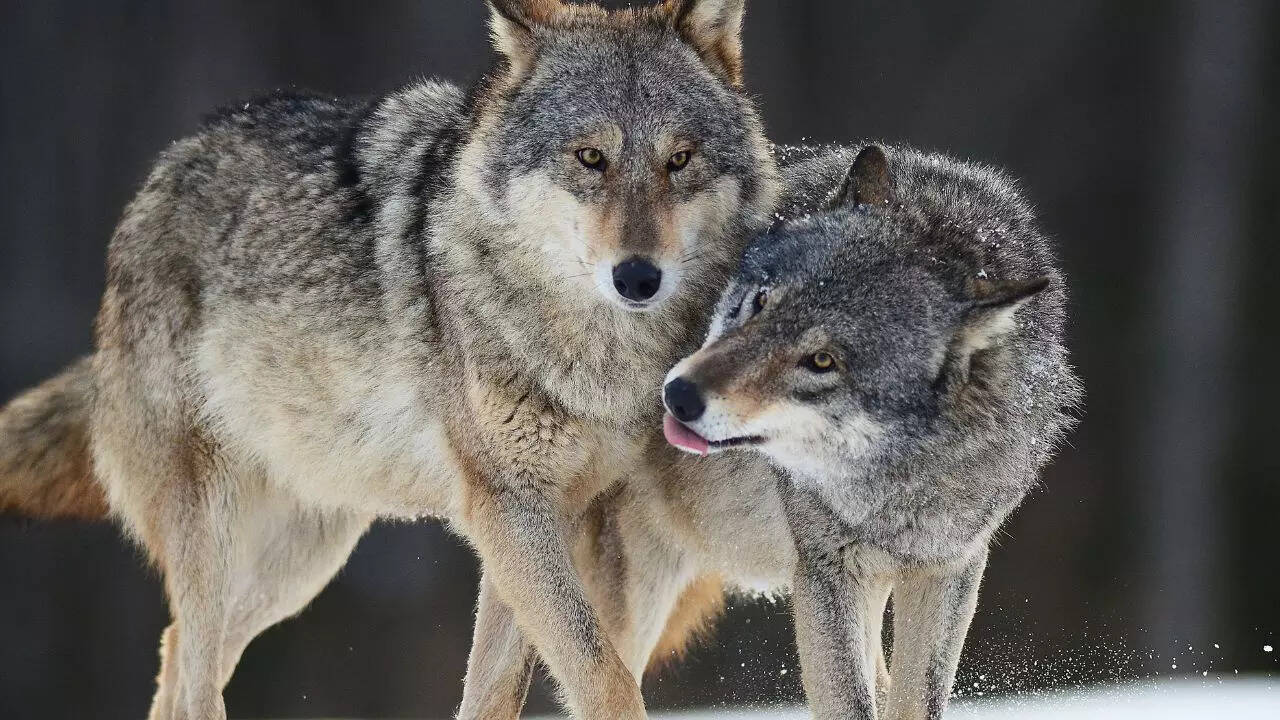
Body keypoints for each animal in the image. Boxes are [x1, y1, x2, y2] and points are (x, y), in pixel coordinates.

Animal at [0, 1, 781, 718]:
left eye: (679, 160)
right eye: (591, 158)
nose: (639, 277)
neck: (595, 354)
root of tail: (162, 172)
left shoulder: (540, 518)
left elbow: (495, 692)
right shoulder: (510, 507)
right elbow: (602, 675)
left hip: (302, 561)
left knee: (178, 655)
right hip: (214, 529)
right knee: (192, 677)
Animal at [659, 144, 1083, 719]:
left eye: (822, 360)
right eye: (761, 301)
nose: (679, 394)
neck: (907, 477)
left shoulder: (950, 568)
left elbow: (914, 699)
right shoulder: (826, 572)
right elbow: (851, 701)